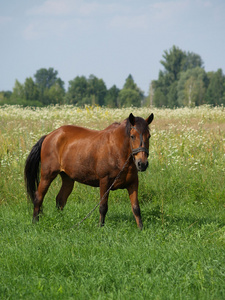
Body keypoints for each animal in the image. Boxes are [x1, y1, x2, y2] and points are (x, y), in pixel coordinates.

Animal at [25, 111, 155, 229]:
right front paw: (100, 227)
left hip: (68, 178)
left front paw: (141, 229)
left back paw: (59, 221)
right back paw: (35, 222)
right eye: (132, 136)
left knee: (60, 200)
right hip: (47, 175)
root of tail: (49, 136)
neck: (117, 151)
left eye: (149, 136)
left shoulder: (133, 183)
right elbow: (103, 207)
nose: (142, 164)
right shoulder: (104, 182)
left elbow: (136, 208)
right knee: (38, 197)